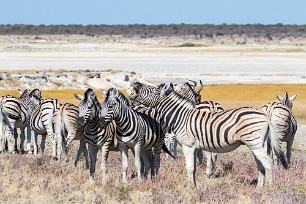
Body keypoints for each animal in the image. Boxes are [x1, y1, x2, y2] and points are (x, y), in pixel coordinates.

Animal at [129, 82, 286, 187]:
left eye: (152, 91)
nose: (134, 85)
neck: (180, 116)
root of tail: (265, 115)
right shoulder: (195, 147)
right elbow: (193, 168)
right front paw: (194, 185)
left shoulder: (188, 145)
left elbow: (189, 167)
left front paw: (190, 188)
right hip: (258, 143)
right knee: (261, 164)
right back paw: (259, 188)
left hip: (254, 142)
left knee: (268, 162)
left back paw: (269, 188)